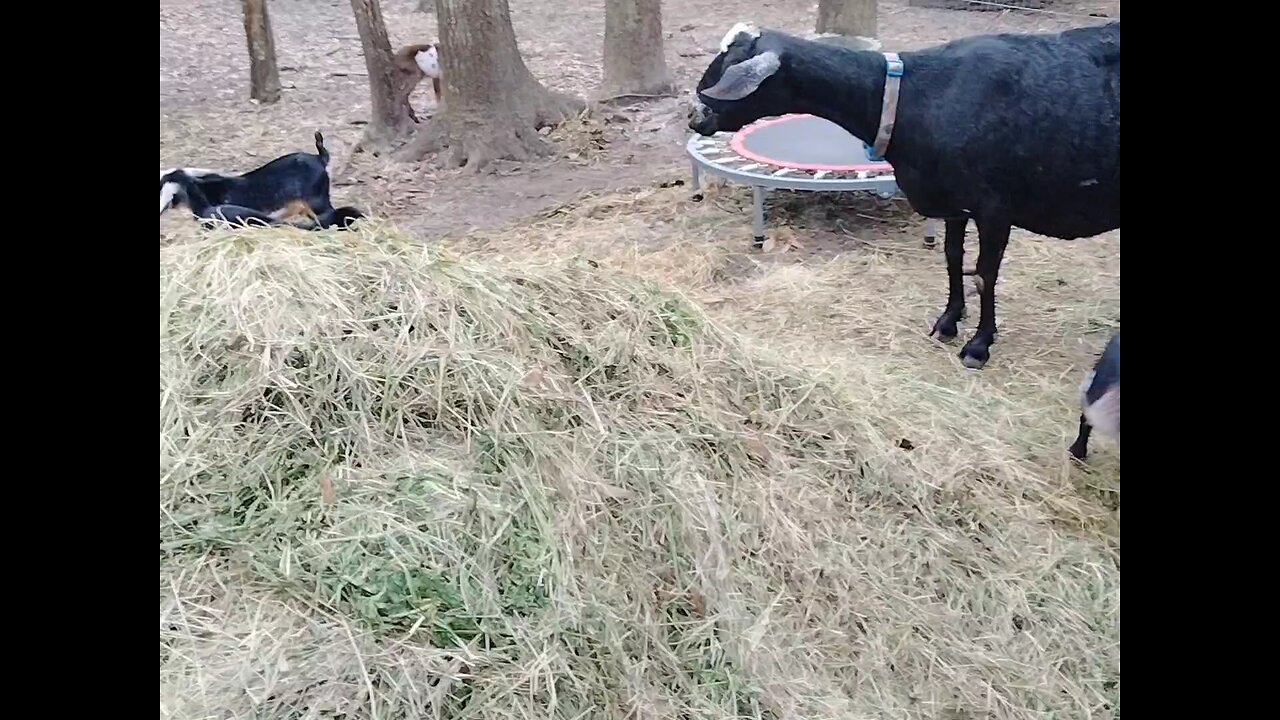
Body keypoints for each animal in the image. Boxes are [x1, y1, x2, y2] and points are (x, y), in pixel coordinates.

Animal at [691, 22, 1121, 368]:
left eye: (730, 65)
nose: (695, 117)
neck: (914, 97)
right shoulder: (953, 202)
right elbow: (951, 259)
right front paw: (948, 321)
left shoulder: (995, 208)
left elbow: (984, 275)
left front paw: (978, 345)